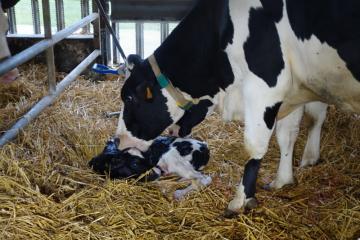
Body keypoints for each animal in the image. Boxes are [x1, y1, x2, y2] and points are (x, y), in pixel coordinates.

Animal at [116, 0, 360, 216]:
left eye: (129, 97)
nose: (118, 140)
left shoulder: (265, 86)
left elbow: (254, 146)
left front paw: (241, 200)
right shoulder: (294, 91)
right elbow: (287, 136)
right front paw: (282, 180)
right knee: (316, 119)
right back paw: (310, 157)